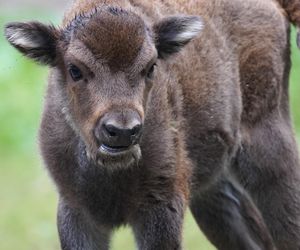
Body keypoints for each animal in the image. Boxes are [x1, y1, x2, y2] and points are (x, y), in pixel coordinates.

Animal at [4, 0, 300, 250]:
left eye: (151, 67)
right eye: (74, 69)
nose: (123, 130)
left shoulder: (161, 206)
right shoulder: (76, 210)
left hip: (271, 156)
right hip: (214, 193)